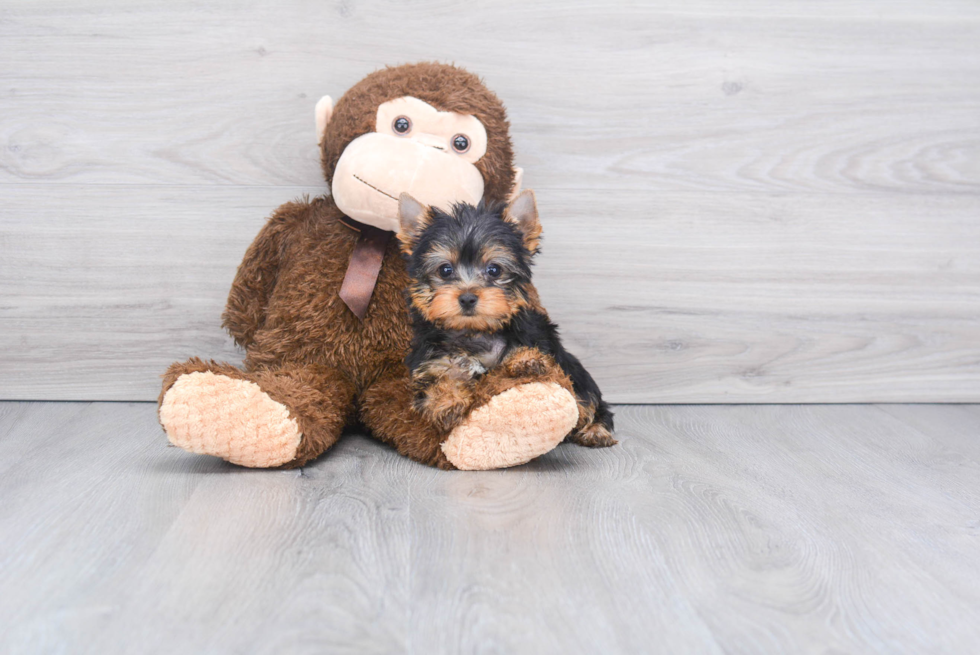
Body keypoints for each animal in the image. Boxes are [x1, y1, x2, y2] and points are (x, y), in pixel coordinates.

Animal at [396, 187, 612, 448]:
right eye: (445, 270)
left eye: (494, 270)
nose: (467, 298)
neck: (476, 332)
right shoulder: (429, 363)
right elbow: (436, 385)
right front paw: (448, 401)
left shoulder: (540, 340)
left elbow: (532, 357)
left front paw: (527, 360)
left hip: (579, 376)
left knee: (591, 401)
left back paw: (597, 431)